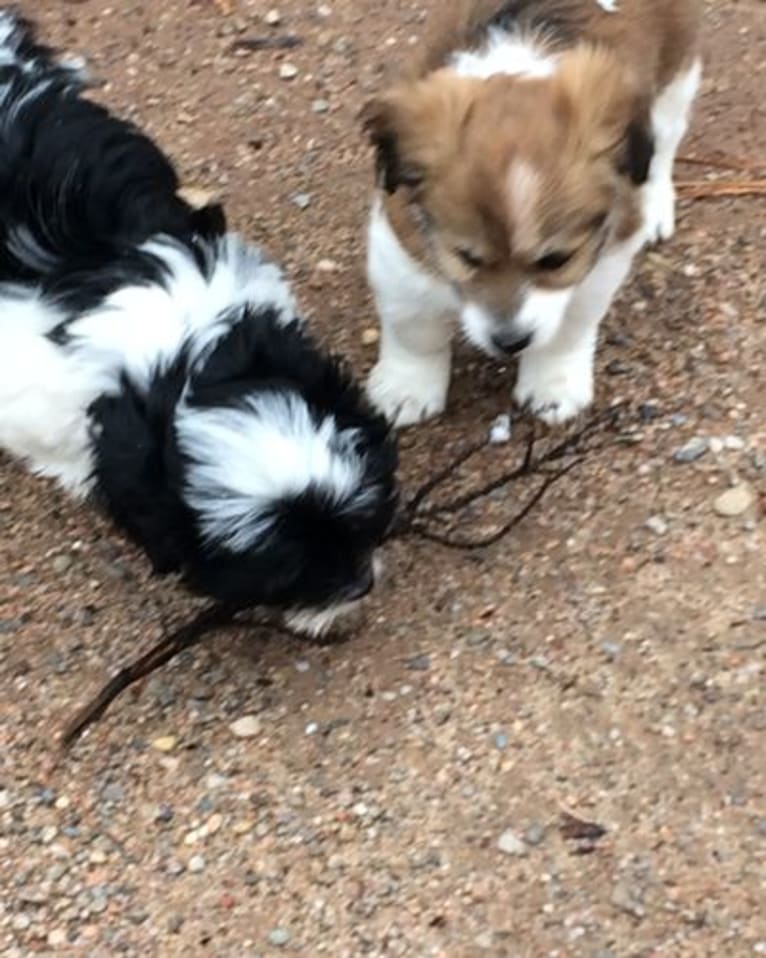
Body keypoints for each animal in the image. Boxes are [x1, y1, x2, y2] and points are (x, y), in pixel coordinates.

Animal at [364, 0, 704, 428]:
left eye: (556, 260)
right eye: (467, 258)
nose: (510, 342)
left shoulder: (603, 256)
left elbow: (565, 330)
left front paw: (552, 383)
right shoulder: (400, 239)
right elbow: (415, 329)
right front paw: (407, 387)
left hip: (676, 75)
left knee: (665, 139)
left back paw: (656, 201)